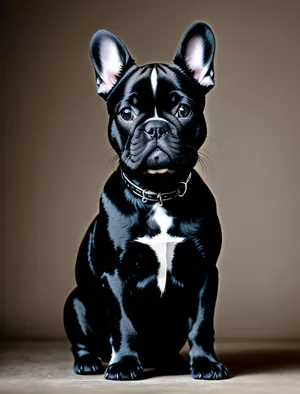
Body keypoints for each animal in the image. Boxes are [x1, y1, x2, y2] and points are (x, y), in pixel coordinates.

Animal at [62, 22, 227, 382]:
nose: (155, 127)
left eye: (183, 110)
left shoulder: (205, 272)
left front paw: (206, 363)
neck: (159, 192)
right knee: (83, 340)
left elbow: (202, 323)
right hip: (76, 302)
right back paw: (89, 362)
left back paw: (173, 361)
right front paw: (124, 363)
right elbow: (123, 323)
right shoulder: (115, 275)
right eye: (127, 113)